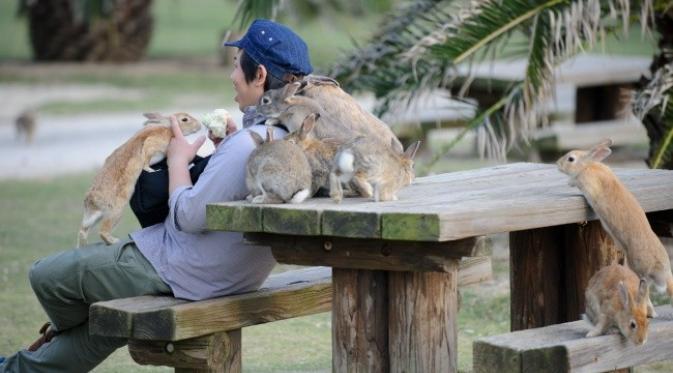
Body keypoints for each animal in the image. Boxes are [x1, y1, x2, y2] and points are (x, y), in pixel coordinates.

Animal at [77, 112, 200, 246]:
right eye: (184, 119)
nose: (199, 125)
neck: (169, 129)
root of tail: (91, 200)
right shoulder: (151, 144)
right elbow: (145, 161)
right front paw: (152, 171)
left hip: (96, 216)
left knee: (83, 230)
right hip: (116, 211)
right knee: (102, 231)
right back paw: (114, 241)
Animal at [556, 138, 672, 316]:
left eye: (571, 159)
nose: (557, 164)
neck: (588, 165)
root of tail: (664, 274)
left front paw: (569, 182)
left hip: (637, 268)